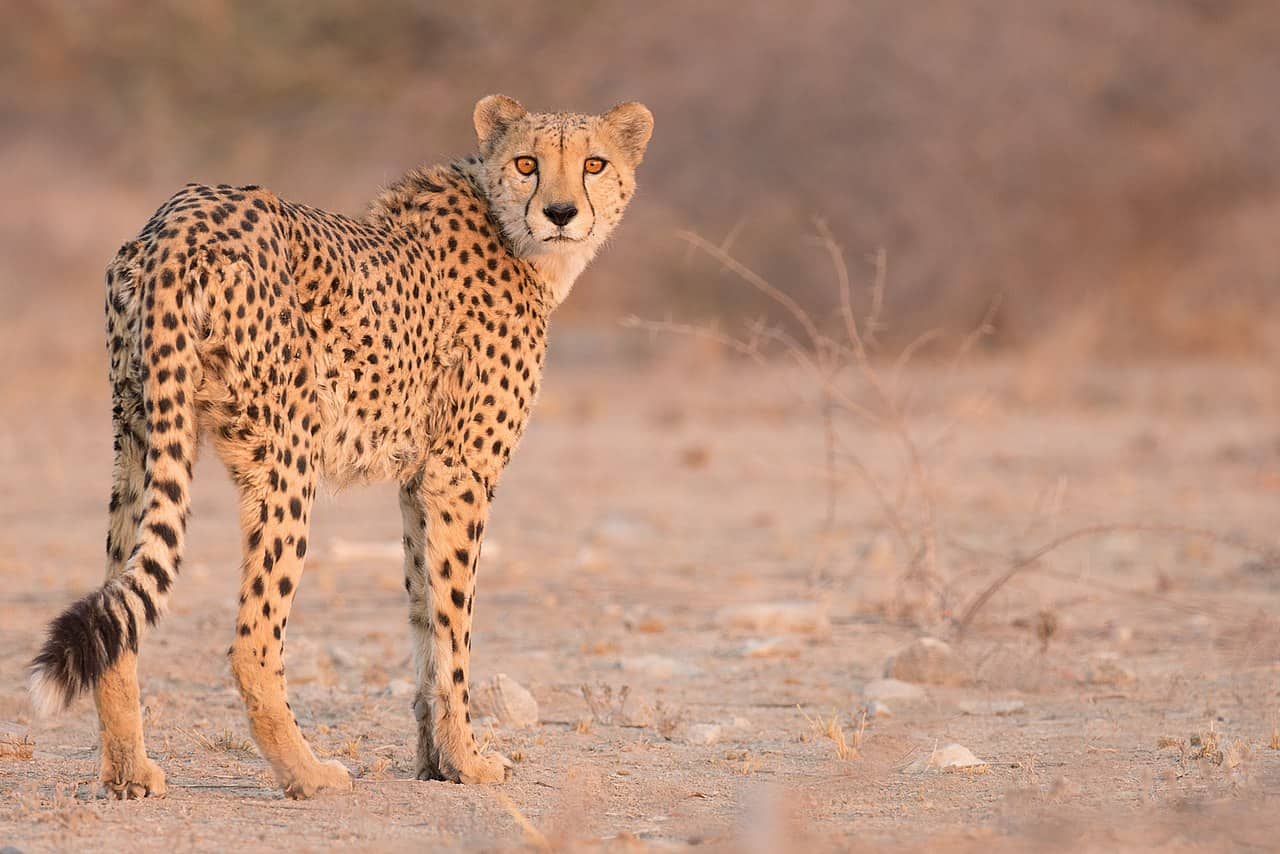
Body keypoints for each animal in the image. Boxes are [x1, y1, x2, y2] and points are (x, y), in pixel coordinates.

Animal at [28, 95, 653, 799]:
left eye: (594, 163)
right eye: (527, 163)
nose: (561, 212)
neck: (514, 238)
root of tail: (179, 220)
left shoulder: (420, 482)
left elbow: (424, 616)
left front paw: (435, 761)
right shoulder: (461, 474)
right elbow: (455, 632)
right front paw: (468, 762)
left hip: (140, 430)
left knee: (119, 602)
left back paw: (128, 772)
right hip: (287, 455)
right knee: (253, 640)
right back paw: (309, 773)